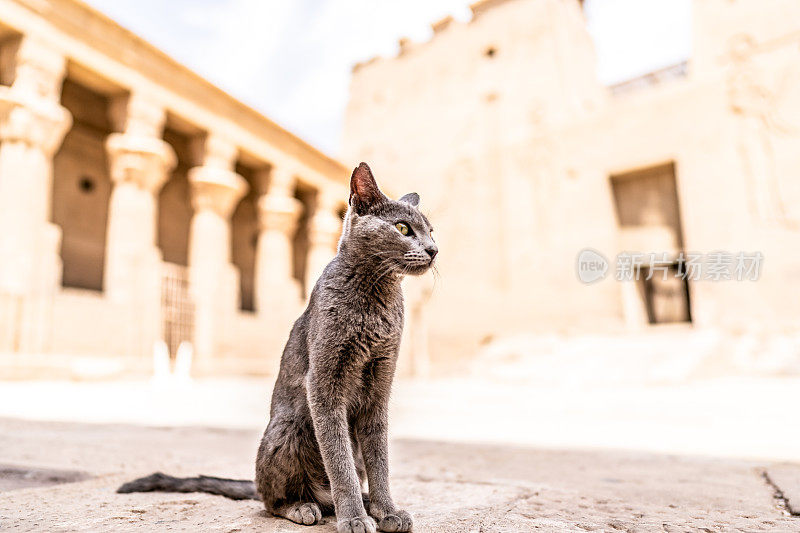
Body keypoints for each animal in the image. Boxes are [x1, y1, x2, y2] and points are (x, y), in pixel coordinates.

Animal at [119, 163, 438, 532]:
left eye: (431, 231)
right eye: (402, 228)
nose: (434, 250)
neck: (377, 296)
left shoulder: (380, 384)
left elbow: (379, 459)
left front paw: (386, 510)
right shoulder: (324, 383)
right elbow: (338, 461)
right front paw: (354, 518)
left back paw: (365, 502)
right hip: (288, 429)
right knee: (271, 499)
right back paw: (306, 507)